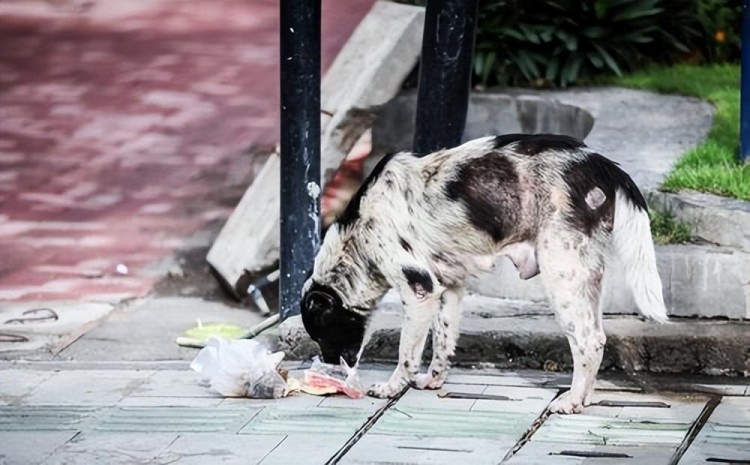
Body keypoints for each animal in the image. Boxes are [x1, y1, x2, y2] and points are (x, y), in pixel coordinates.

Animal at [302, 133, 668, 414]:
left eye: (322, 331)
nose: (331, 369)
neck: (359, 231)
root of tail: (604, 165)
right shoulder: (447, 289)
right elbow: (443, 343)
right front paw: (433, 381)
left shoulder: (419, 290)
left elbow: (407, 353)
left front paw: (392, 388)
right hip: (587, 278)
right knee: (599, 339)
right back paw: (584, 398)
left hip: (561, 274)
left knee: (587, 342)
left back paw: (570, 402)